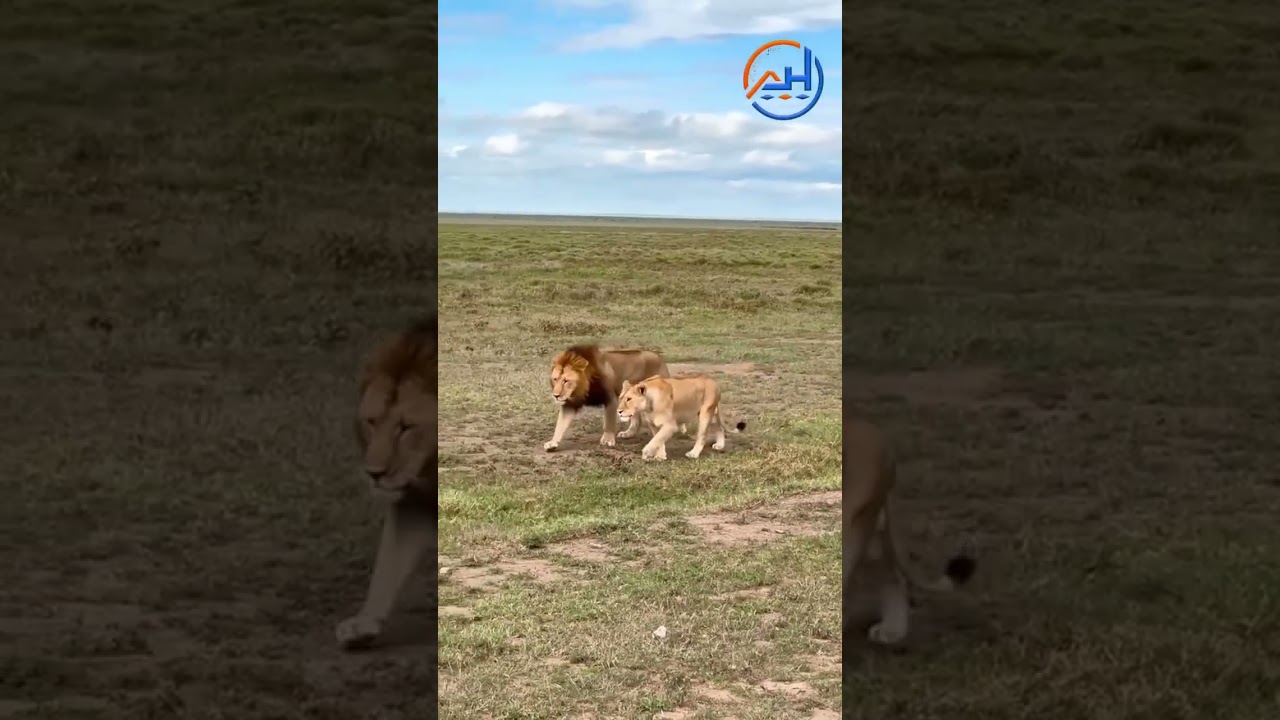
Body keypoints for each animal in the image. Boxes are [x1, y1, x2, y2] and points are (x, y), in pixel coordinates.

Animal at [334, 315, 437, 651]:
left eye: (405, 428)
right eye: (372, 421)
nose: (374, 474)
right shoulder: (413, 502)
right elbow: (388, 563)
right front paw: (365, 623)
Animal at [616, 374, 745, 461]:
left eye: (629, 399)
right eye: (621, 398)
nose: (619, 411)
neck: (648, 406)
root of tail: (713, 382)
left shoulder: (670, 425)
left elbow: (656, 439)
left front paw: (646, 452)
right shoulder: (653, 425)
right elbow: (659, 440)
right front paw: (661, 456)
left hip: (706, 413)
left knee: (702, 436)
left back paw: (693, 454)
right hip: (712, 415)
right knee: (720, 428)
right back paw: (720, 445)